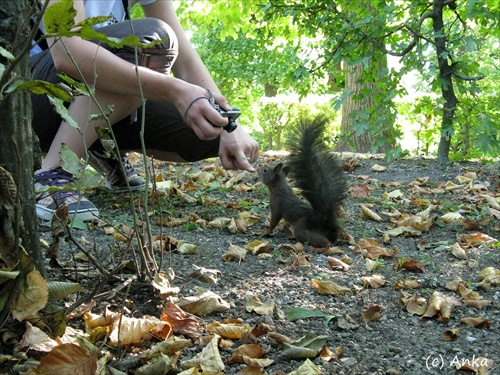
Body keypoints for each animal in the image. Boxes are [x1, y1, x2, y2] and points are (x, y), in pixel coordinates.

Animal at [258, 116, 348, 248]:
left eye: (265, 170)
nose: (257, 169)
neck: (279, 187)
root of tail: (322, 220)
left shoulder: (276, 204)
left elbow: (274, 220)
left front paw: (265, 232)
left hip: (302, 227)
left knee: (322, 241)